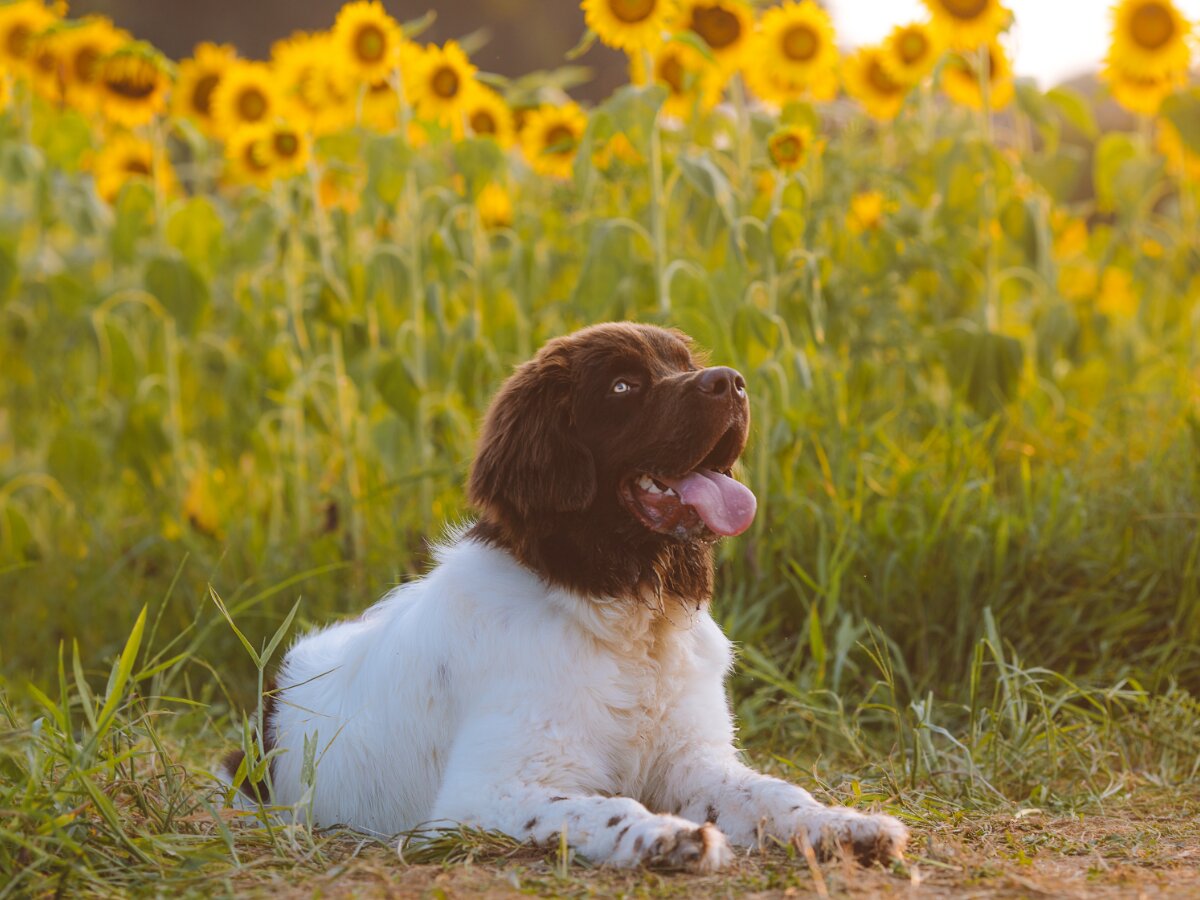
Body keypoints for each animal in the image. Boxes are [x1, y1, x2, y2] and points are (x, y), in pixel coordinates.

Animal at [225, 324, 902, 873]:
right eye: (625, 387)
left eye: (684, 362)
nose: (732, 382)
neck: (627, 612)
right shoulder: (483, 794)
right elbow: (607, 808)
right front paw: (671, 839)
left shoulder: (695, 761)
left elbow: (774, 792)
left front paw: (845, 826)